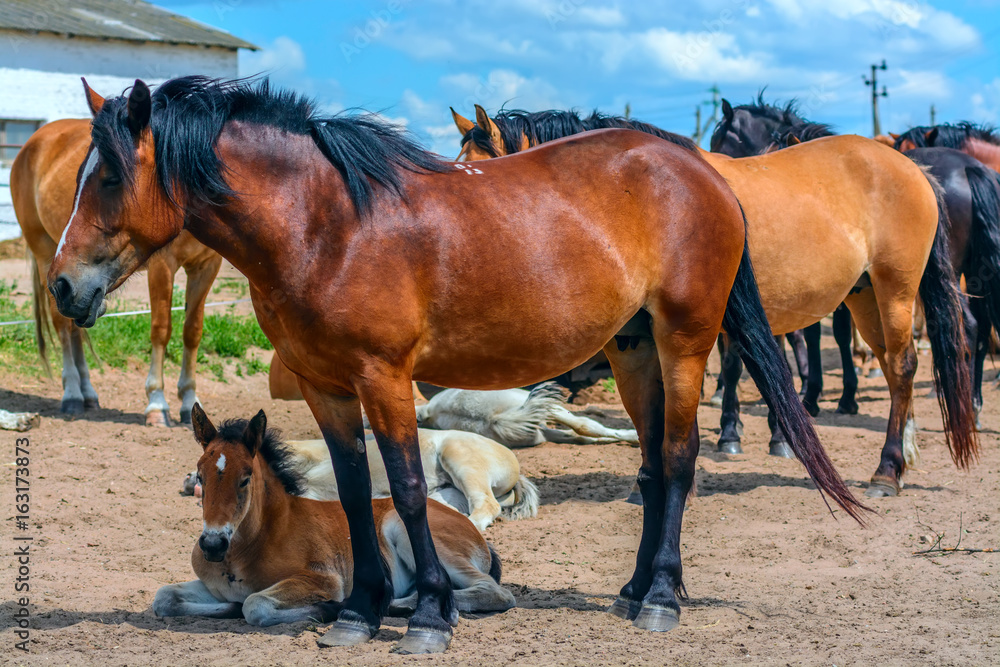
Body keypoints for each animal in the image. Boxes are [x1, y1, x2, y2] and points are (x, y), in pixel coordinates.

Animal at [10, 118, 221, 425]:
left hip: (76, 287)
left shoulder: (207, 266)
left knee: (74, 327)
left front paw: (189, 400)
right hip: (49, 259)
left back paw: (87, 392)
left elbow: (192, 331)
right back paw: (72, 394)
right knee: (62, 325)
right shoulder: (162, 265)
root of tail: (34, 141)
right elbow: (161, 328)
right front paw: (157, 403)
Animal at [451, 103, 978, 498]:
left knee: (905, 365)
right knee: (891, 365)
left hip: (896, 289)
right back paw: (904, 454)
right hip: (864, 296)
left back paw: (887, 471)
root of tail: (910, 166)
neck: (629, 194)